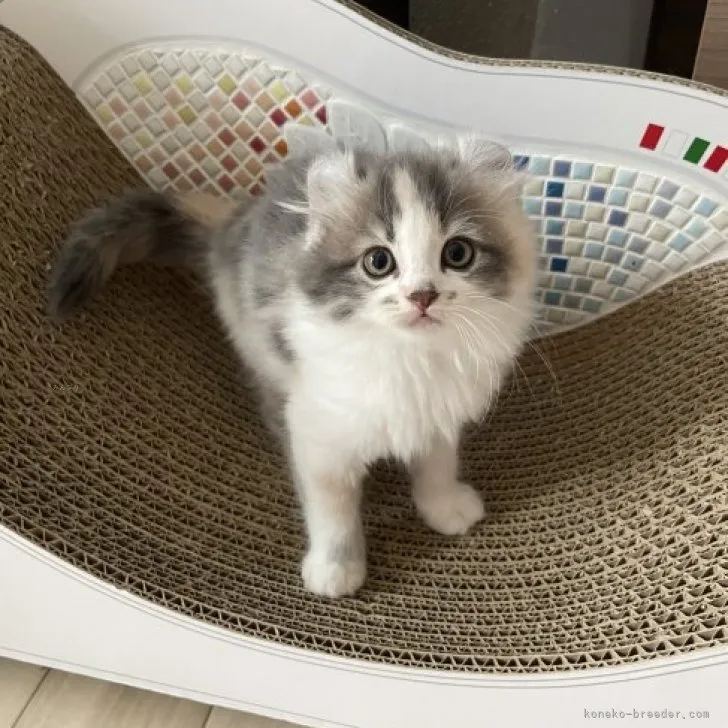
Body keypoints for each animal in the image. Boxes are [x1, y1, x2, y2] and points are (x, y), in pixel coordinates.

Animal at [49, 136, 537, 598]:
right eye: (379, 262)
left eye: (457, 254)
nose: (422, 296)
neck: (409, 358)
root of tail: (233, 221)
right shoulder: (318, 432)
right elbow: (332, 511)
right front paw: (336, 570)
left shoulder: (437, 415)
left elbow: (436, 464)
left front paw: (444, 506)